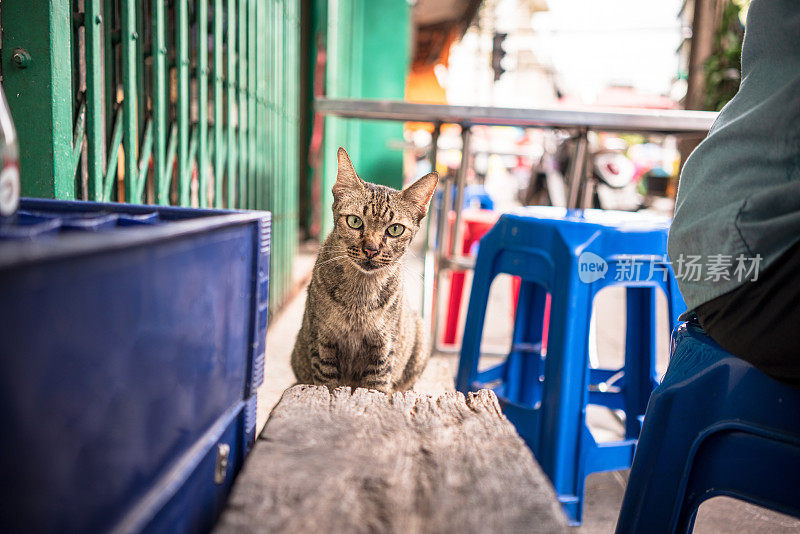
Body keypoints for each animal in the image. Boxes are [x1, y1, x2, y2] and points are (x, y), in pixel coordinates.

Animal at [290, 147, 438, 394]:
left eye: (395, 229)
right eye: (354, 221)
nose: (371, 249)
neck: (359, 297)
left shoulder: (383, 349)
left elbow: (375, 389)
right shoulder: (322, 342)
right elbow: (327, 383)